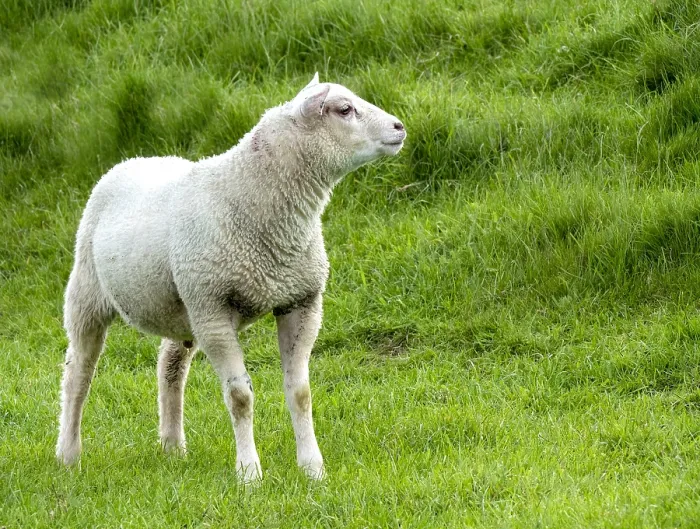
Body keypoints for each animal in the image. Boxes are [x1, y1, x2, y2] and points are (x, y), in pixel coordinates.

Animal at [56, 73, 406, 482]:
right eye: (345, 109)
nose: (399, 127)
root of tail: (134, 160)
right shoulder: (215, 311)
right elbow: (240, 397)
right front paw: (249, 473)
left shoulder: (300, 300)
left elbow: (300, 393)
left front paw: (312, 468)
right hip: (92, 290)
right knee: (79, 372)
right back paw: (68, 454)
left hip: (184, 304)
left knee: (170, 365)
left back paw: (173, 447)